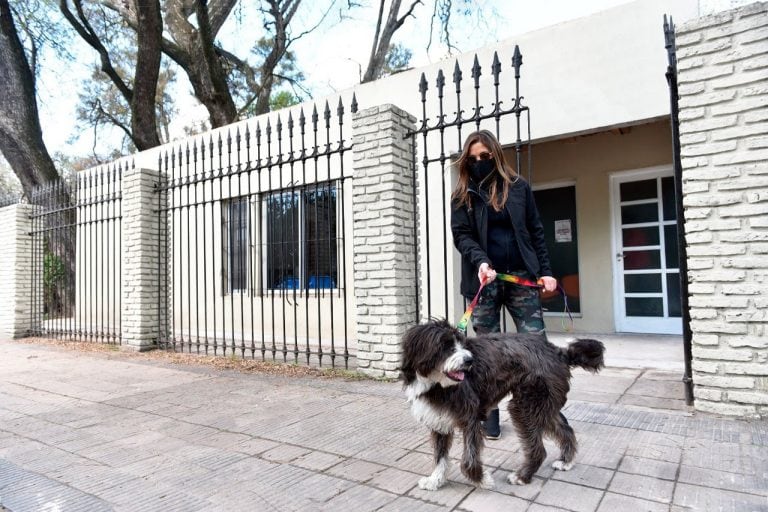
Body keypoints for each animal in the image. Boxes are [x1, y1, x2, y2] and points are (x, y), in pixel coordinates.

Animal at [402, 318, 608, 490]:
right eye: (446, 345)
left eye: (461, 343)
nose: (469, 360)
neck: (435, 383)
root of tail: (558, 352)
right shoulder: (439, 420)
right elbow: (440, 457)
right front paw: (435, 480)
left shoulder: (470, 419)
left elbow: (468, 459)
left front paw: (481, 479)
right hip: (543, 405)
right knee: (564, 429)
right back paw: (566, 461)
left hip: (525, 406)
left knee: (539, 450)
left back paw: (522, 476)